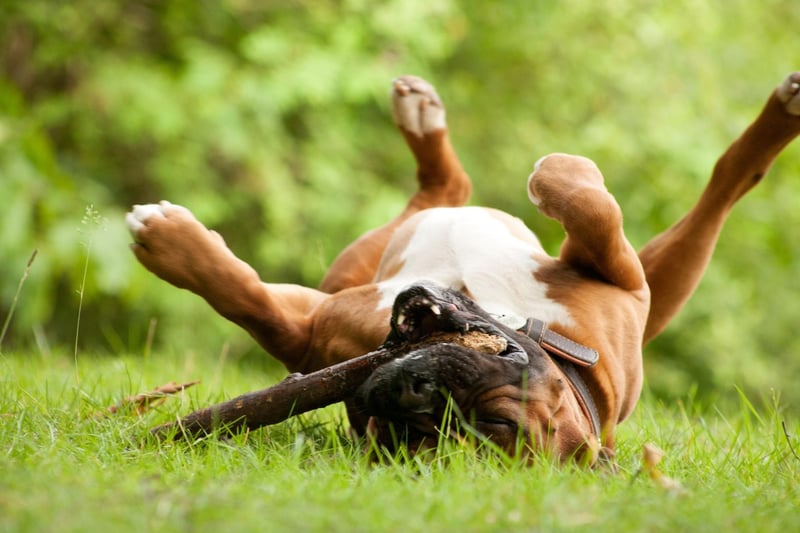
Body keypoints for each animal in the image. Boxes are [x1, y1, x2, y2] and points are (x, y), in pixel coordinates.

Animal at [125, 71, 800, 462]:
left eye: (414, 441)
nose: (415, 396)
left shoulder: (306, 335)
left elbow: (252, 305)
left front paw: (166, 242)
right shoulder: (623, 281)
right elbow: (591, 205)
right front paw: (559, 173)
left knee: (724, 186)